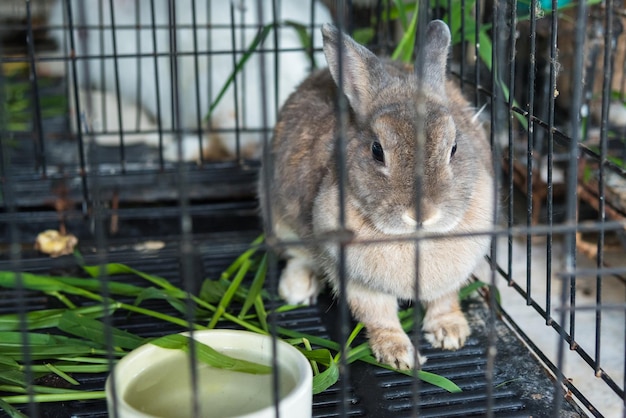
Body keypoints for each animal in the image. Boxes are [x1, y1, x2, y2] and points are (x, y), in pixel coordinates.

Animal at [258, 20, 492, 370]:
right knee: (298, 255)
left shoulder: (452, 278)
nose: (422, 214)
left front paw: (451, 334)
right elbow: (378, 316)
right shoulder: (357, 280)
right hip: (280, 220)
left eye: (453, 148)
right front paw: (399, 355)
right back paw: (297, 289)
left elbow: (444, 301)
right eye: (376, 151)